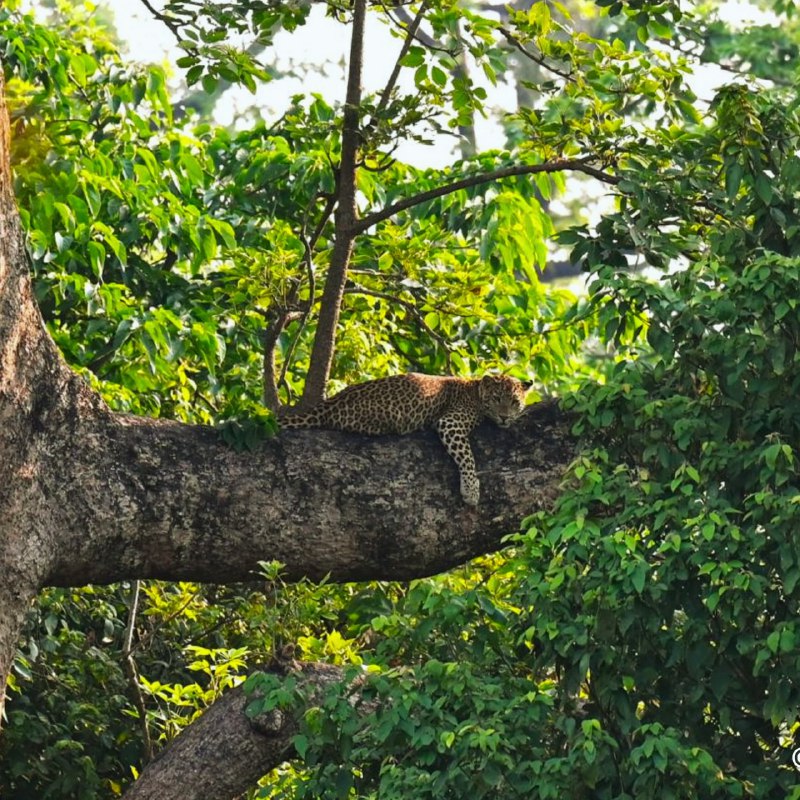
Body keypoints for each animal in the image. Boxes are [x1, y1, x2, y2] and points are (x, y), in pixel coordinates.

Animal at [278, 374, 536, 506]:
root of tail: (330, 402)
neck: (475, 390)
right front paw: (471, 491)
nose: (504, 417)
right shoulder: (450, 423)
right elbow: (467, 458)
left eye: (514, 401)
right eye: (497, 398)